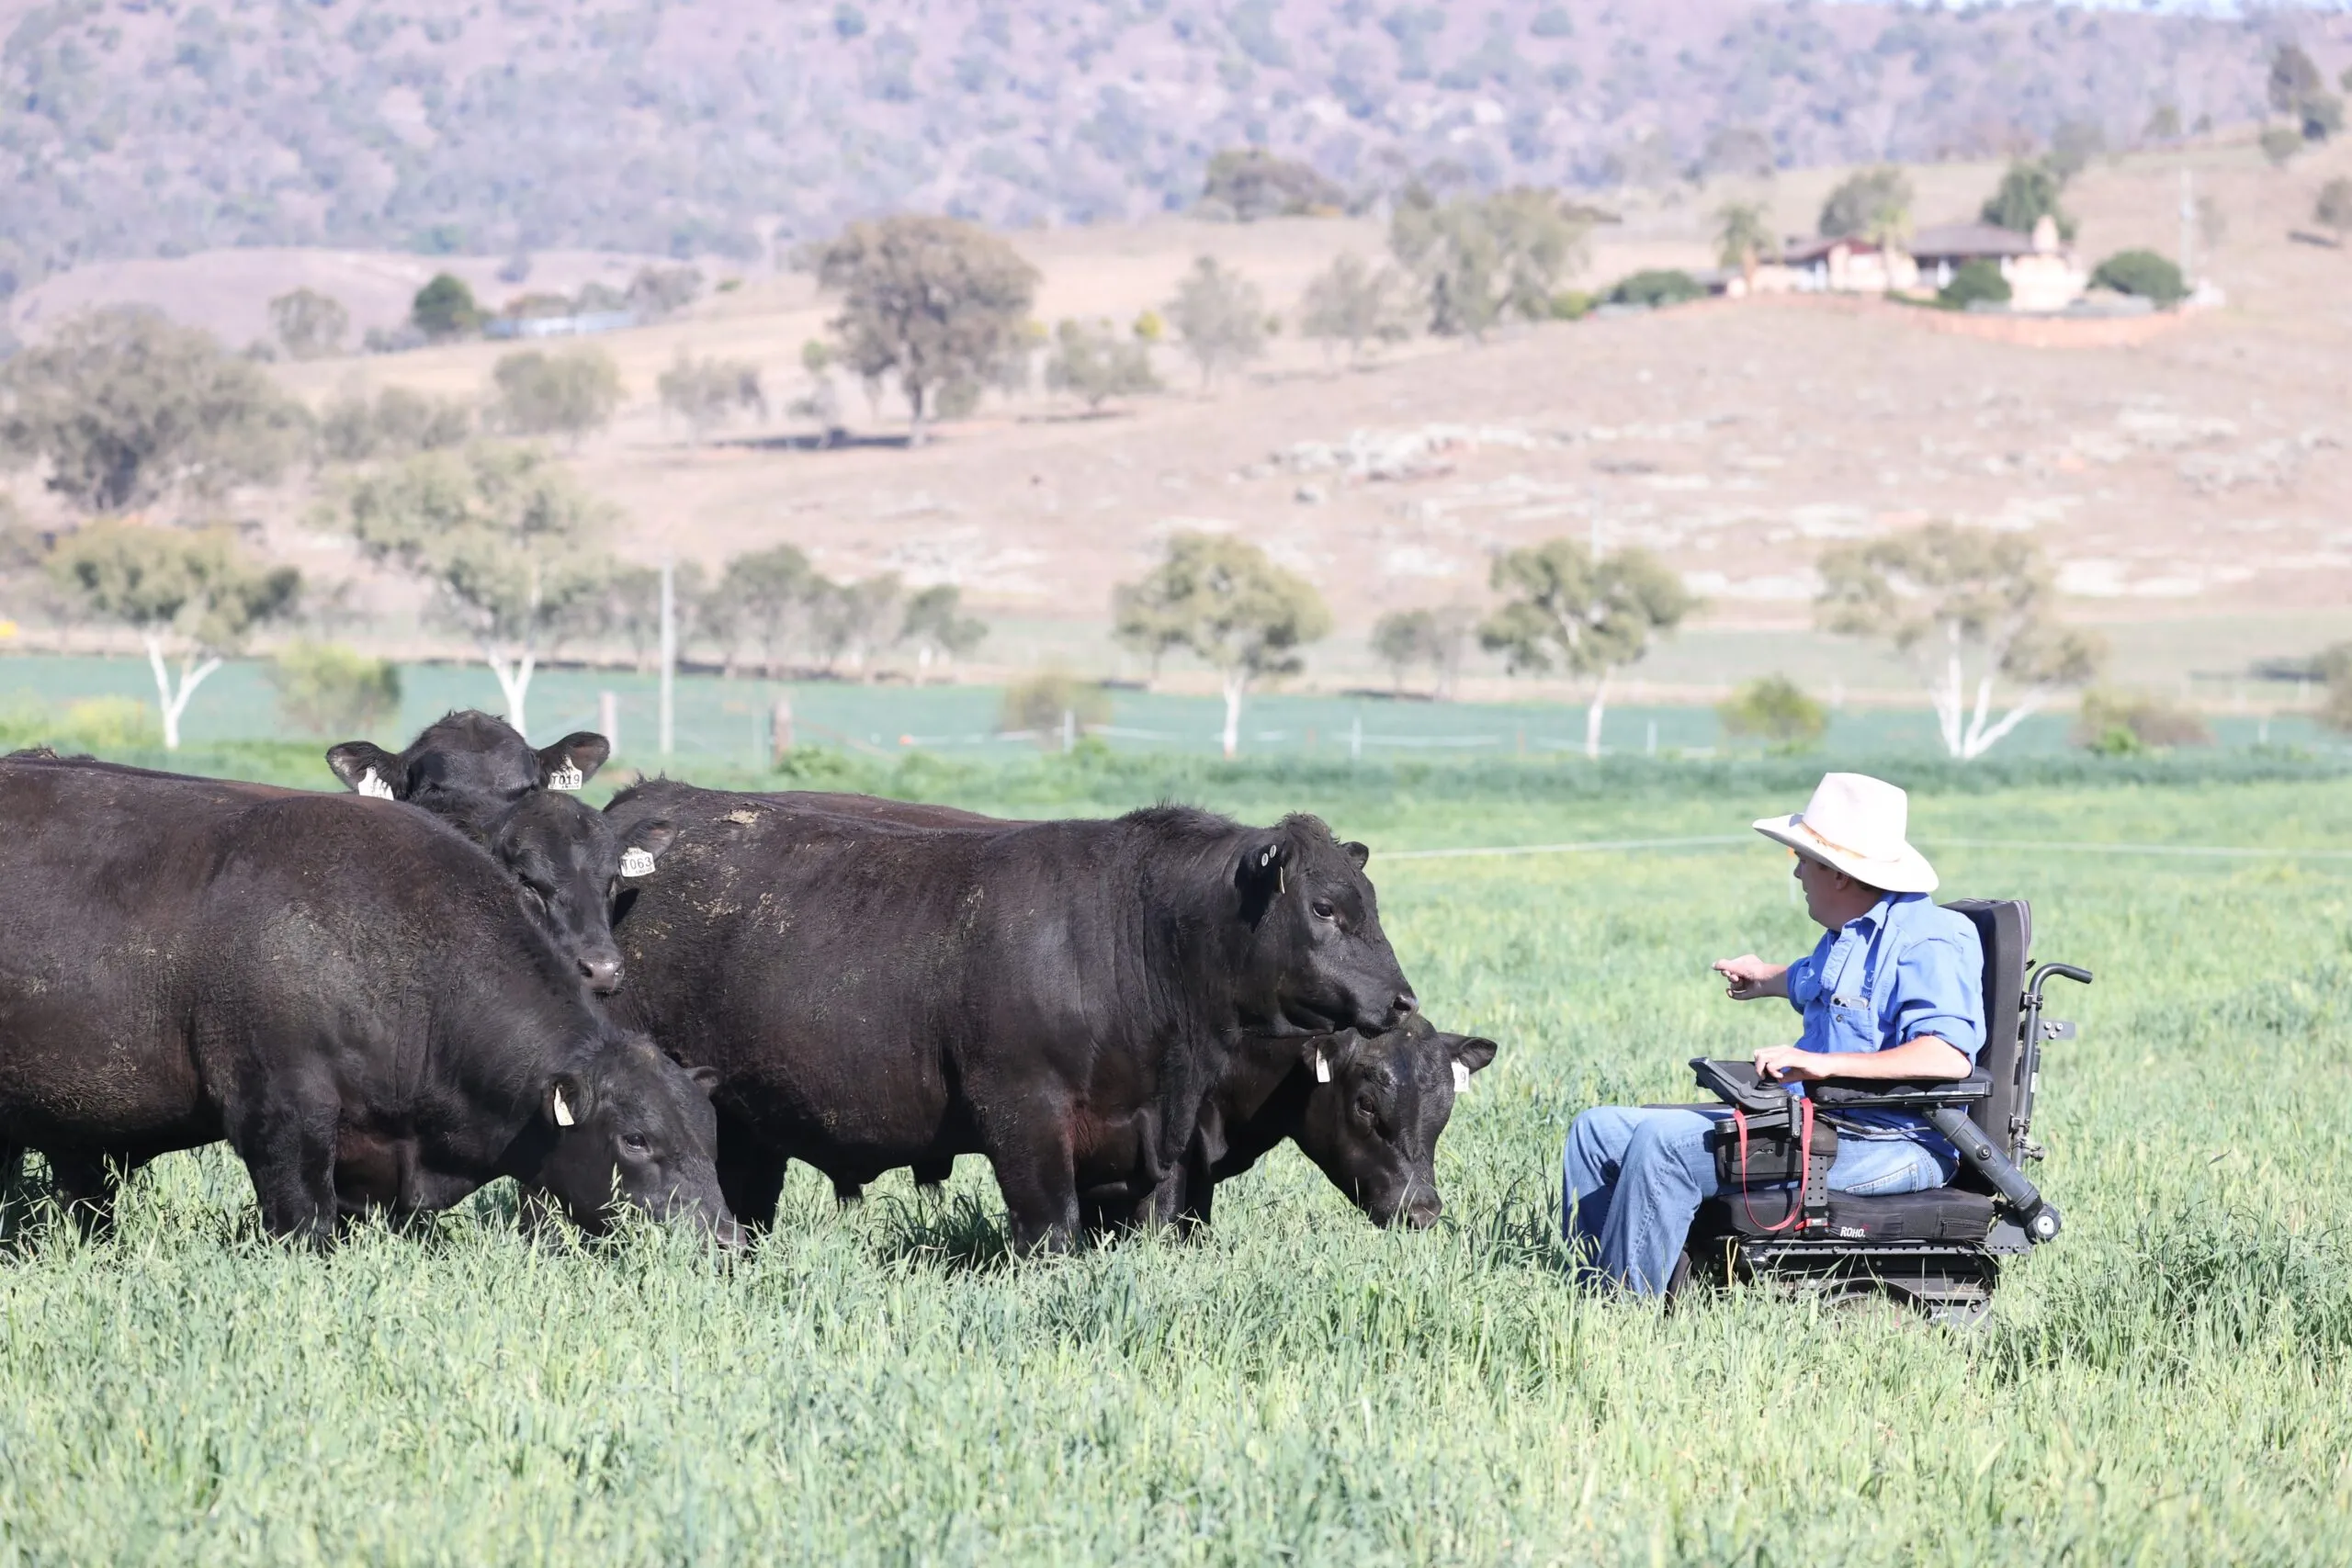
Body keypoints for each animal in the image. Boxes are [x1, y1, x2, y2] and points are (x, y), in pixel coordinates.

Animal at [600, 780, 1418, 1250]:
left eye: (1371, 901)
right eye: (1324, 907)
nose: (1402, 997)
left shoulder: (1154, 1141)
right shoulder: (1023, 1117)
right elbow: (1048, 1229)